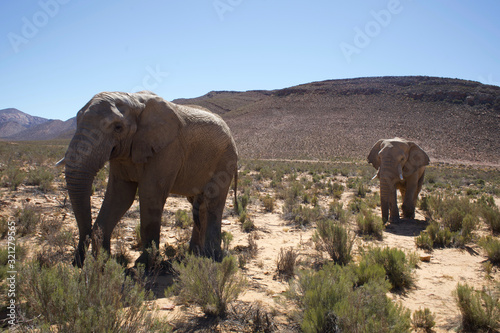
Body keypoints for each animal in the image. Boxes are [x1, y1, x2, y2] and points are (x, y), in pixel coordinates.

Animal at [58, 89, 238, 266]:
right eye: (77, 121)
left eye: (118, 127)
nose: (77, 263)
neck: (134, 101)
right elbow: (120, 196)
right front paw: (104, 262)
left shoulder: (168, 149)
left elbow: (150, 195)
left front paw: (143, 264)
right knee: (198, 204)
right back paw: (193, 254)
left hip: (225, 160)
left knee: (213, 203)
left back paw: (212, 257)